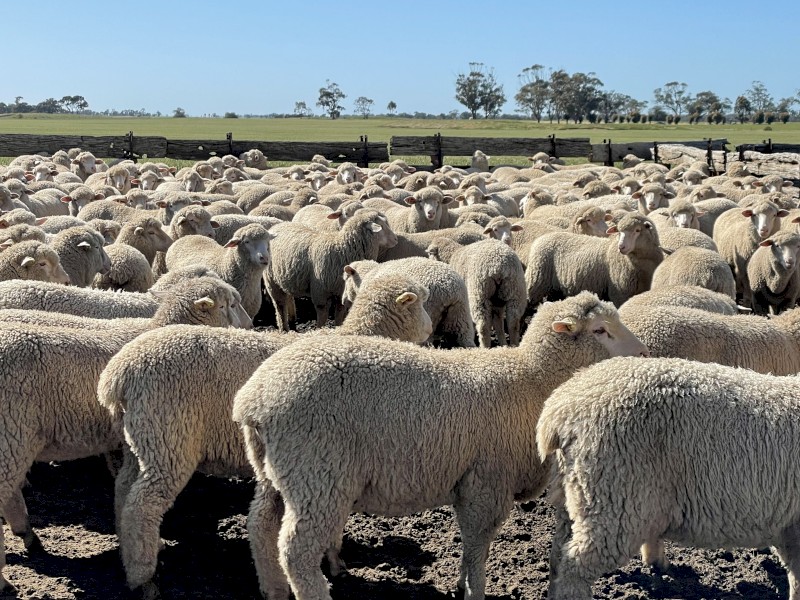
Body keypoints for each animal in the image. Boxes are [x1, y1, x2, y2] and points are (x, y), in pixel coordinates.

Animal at [230, 291, 648, 600]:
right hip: (317, 475)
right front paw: (475, 592)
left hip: (276, 472)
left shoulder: (470, 485)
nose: (645, 354)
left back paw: (273, 589)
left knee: (260, 524)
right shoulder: (486, 483)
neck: (530, 379)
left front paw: (462, 582)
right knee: (296, 551)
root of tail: (254, 399)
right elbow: (479, 544)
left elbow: (471, 545)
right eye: (600, 331)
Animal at [264, 209, 398, 330]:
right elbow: (322, 316)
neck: (342, 249)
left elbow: (339, 314)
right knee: (280, 305)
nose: (396, 240)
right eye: (382, 226)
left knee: (288, 297)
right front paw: (320, 330)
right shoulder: (320, 292)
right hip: (271, 280)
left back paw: (292, 321)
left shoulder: (340, 291)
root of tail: (277, 225)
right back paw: (284, 328)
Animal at [526, 212, 664, 308]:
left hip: (555, 290)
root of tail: (542, 238)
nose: (621, 247)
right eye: (619, 232)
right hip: (536, 282)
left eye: (638, 230)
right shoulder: (619, 294)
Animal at [537, 356, 800, 600]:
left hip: (573, 496)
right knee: (574, 567)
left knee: (557, 554)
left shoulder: (790, 527)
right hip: (614, 500)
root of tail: (560, 409)